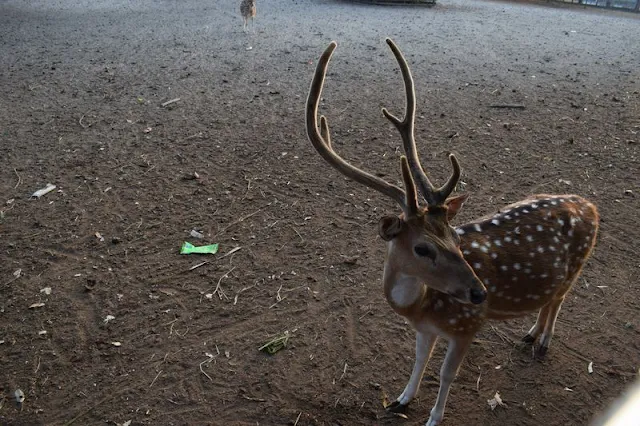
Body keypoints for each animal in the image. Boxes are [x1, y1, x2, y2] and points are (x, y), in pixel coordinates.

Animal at [304, 38, 600, 424]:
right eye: (423, 248)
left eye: (454, 235)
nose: (479, 293)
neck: (421, 307)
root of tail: (591, 206)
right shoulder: (425, 329)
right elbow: (419, 360)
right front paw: (401, 399)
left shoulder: (467, 326)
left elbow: (446, 373)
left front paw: (433, 417)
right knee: (550, 298)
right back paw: (530, 335)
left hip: (577, 266)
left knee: (560, 299)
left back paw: (544, 341)